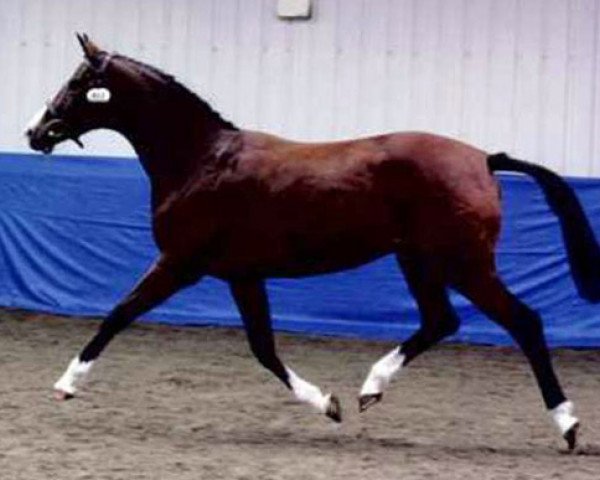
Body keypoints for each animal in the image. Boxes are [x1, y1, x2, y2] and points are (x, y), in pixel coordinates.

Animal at [24, 34, 600, 450]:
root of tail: (484, 159)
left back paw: (567, 425)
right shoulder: (242, 275)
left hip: (463, 264)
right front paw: (329, 404)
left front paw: (67, 384)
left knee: (524, 322)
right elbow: (263, 348)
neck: (201, 160)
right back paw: (370, 390)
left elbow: (118, 314)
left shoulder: (179, 262)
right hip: (418, 260)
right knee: (441, 321)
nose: (35, 131)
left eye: (78, 82)